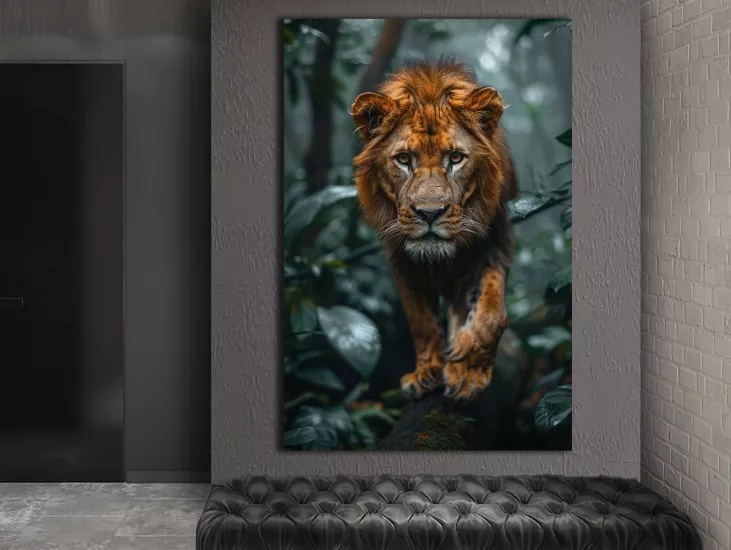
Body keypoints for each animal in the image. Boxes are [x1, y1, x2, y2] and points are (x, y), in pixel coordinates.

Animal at [350, 60, 517, 402]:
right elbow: (420, 320)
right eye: (403, 160)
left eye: (455, 158)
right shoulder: (400, 257)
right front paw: (427, 371)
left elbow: (492, 313)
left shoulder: (494, 243)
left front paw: (468, 370)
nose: (429, 213)